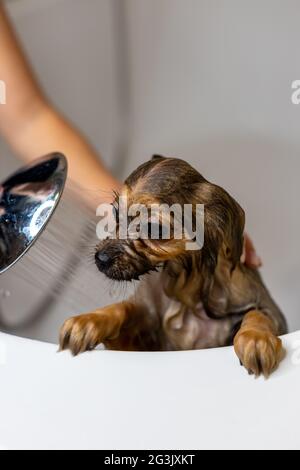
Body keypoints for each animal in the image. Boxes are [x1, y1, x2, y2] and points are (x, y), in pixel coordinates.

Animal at [59, 156, 288, 376]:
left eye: (153, 228)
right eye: (115, 213)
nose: (101, 258)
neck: (185, 289)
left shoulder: (270, 312)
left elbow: (257, 314)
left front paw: (256, 339)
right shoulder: (136, 341)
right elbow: (122, 307)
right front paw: (88, 320)